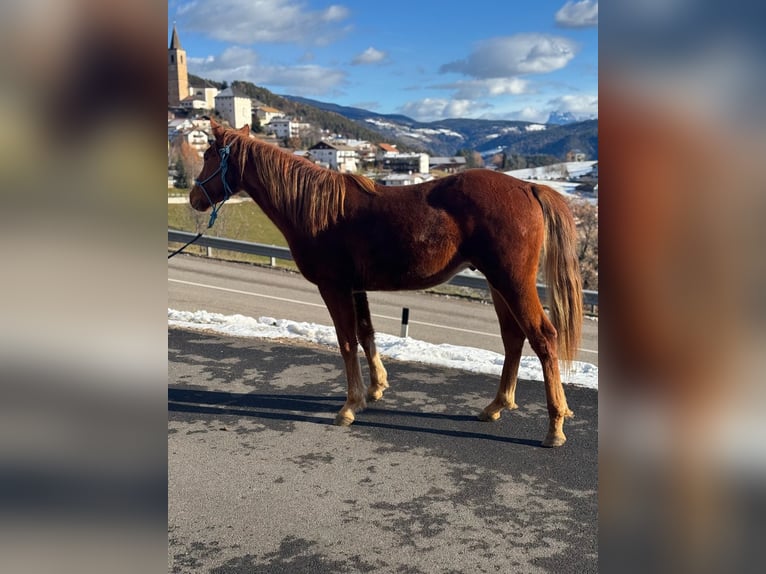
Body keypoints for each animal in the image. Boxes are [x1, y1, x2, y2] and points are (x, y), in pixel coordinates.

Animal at [190, 119, 584, 448]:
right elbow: (366, 333)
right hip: (498, 284)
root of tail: (527, 186)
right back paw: (497, 406)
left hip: (512, 283)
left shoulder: (334, 288)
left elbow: (346, 342)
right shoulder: (356, 288)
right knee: (514, 339)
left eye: (209, 155)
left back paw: (554, 426)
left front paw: (350, 405)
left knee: (543, 338)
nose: (194, 199)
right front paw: (375, 389)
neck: (316, 209)